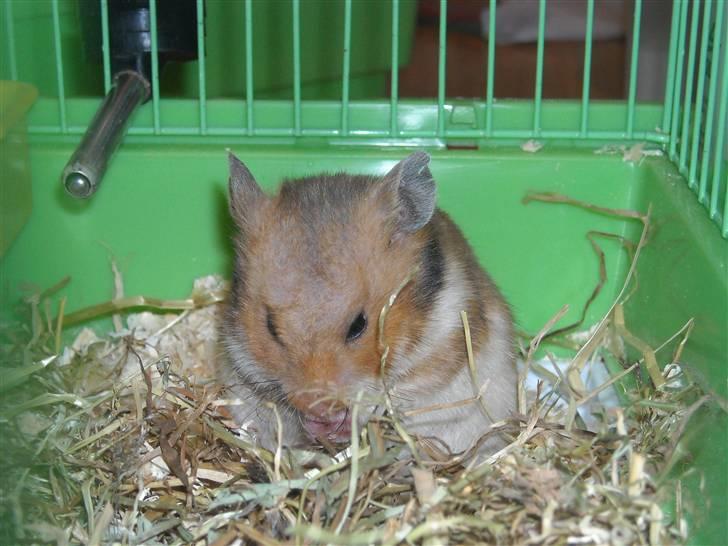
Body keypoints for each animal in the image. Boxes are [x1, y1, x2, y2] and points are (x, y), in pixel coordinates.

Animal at [220, 151, 517, 457]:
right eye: (270, 326)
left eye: (358, 325)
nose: (319, 409)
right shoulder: (240, 356)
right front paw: (314, 424)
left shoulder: (442, 346)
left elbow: (387, 396)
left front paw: (337, 423)